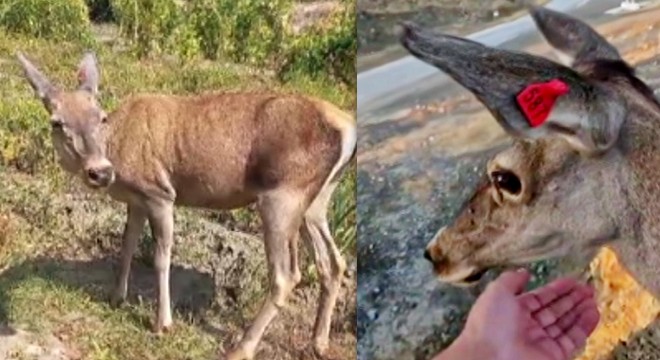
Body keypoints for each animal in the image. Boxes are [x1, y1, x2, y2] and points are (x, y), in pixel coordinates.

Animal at [15, 51, 356, 360]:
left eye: (100, 116)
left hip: (282, 195)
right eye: (57, 122)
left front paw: (162, 324)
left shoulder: (160, 193)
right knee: (332, 262)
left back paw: (242, 348)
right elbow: (126, 246)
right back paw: (319, 343)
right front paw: (115, 297)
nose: (100, 172)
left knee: (286, 276)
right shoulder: (136, 201)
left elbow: (160, 257)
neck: (120, 155)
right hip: (316, 201)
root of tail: (349, 129)